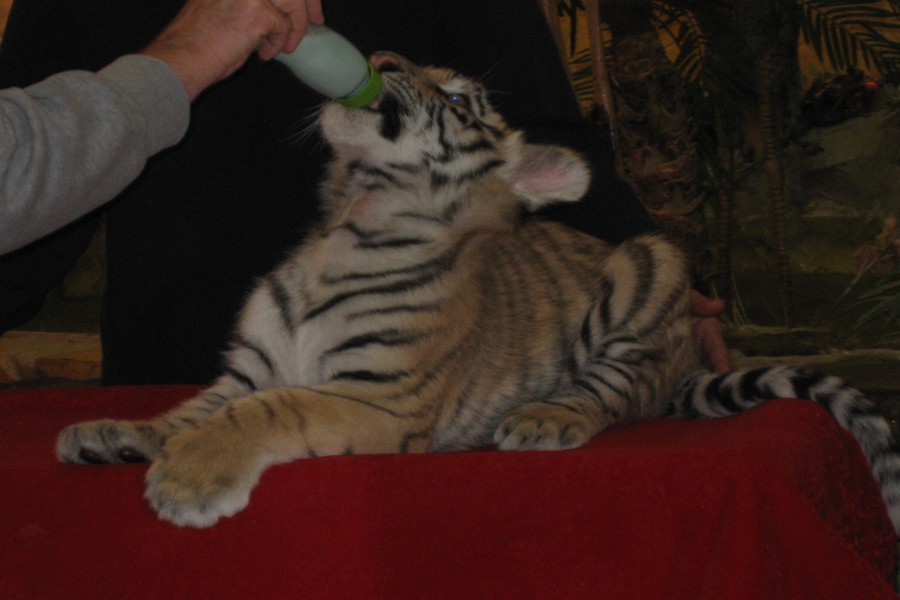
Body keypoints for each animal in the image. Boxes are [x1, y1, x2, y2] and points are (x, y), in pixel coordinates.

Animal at [57, 53, 900, 531]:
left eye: (460, 99)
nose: (383, 54)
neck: (348, 222)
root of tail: (688, 360)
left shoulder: (378, 397)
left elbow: (269, 410)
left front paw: (189, 479)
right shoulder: (243, 371)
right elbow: (189, 409)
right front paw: (115, 430)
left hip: (650, 261)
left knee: (616, 390)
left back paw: (546, 416)